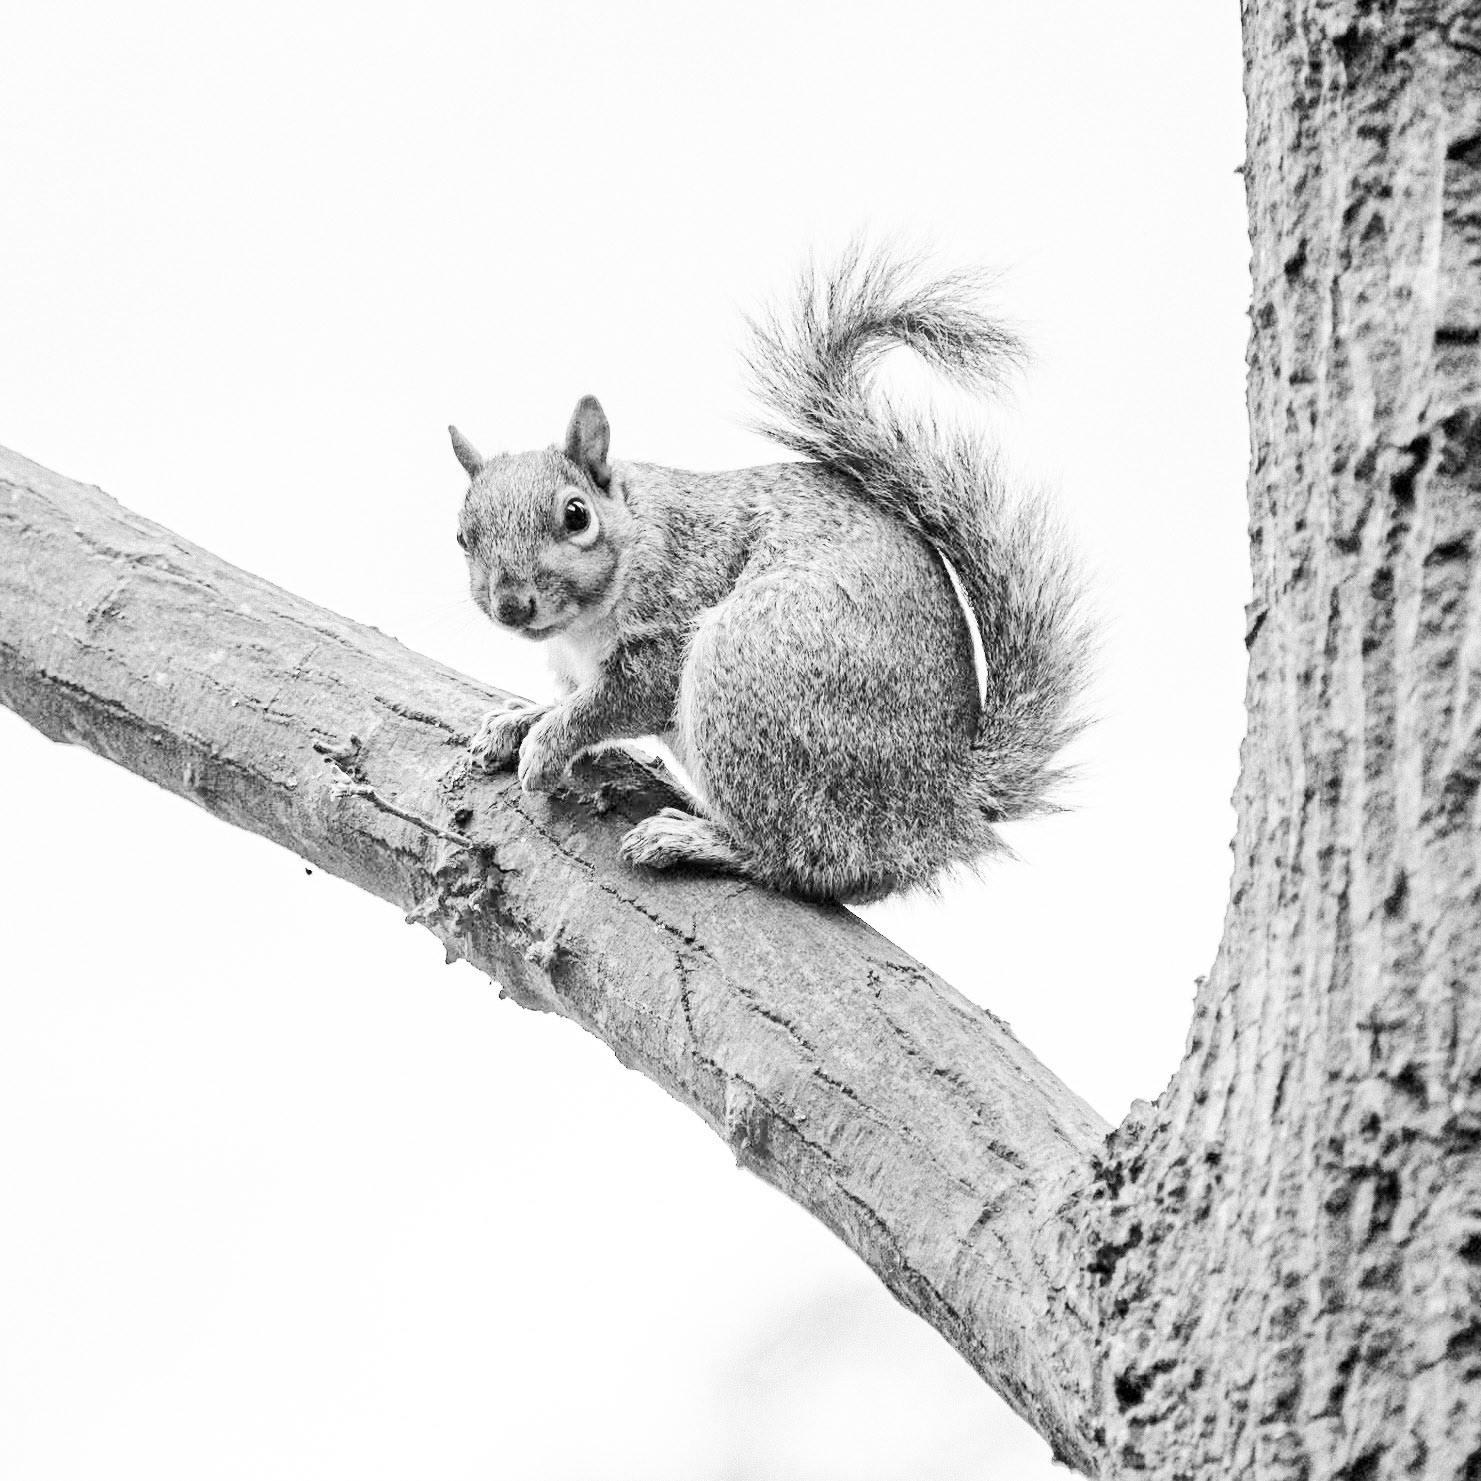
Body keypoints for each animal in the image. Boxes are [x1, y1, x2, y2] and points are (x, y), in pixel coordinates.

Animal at [448, 247, 1087, 903]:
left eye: (576, 515)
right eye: (462, 536)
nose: (511, 605)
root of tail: (942, 802)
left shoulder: (671, 618)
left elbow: (614, 703)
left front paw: (547, 744)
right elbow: (568, 698)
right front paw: (516, 721)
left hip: (750, 668)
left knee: (806, 861)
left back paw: (695, 839)